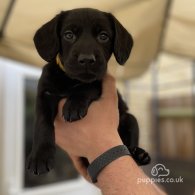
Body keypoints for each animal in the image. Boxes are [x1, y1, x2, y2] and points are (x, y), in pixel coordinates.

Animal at [26, 8, 150, 175]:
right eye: (68, 35)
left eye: (103, 36)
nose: (86, 59)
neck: (70, 80)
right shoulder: (44, 94)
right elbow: (42, 124)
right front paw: (40, 156)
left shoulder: (99, 80)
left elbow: (88, 85)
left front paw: (73, 105)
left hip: (129, 118)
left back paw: (139, 154)